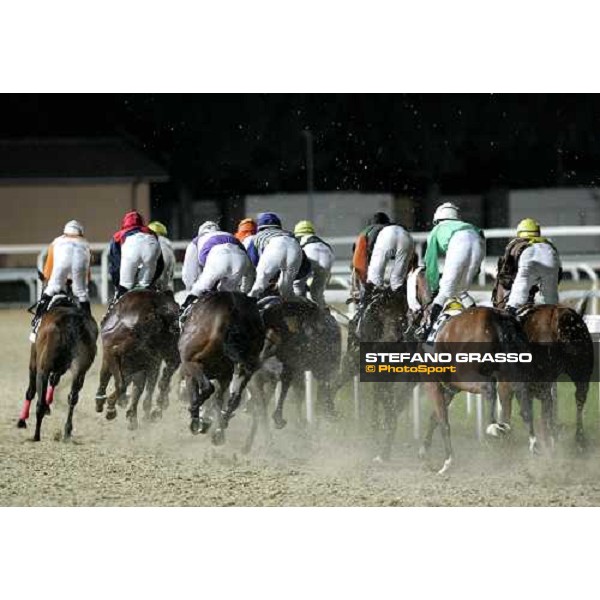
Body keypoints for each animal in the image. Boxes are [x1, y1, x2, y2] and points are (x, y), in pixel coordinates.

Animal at [16, 296, 97, 440]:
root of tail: (72, 321)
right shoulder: (61, 368)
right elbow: (54, 381)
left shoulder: (34, 362)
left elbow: (31, 391)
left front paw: (22, 420)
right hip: (80, 370)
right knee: (73, 397)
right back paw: (67, 430)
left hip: (42, 369)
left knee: (39, 402)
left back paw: (36, 435)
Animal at [177, 290, 264, 446]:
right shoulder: (225, 375)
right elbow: (219, 399)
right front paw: (213, 425)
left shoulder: (190, 366)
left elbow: (202, 391)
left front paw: (198, 420)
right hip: (247, 365)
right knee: (235, 398)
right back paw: (220, 427)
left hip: (193, 362)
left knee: (208, 388)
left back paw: (197, 416)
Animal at [492, 278, 596, 448]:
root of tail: (562, 317)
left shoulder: (506, 384)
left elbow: (509, 411)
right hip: (582, 370)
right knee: (579, 398)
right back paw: (578, 440)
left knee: (546, 406)